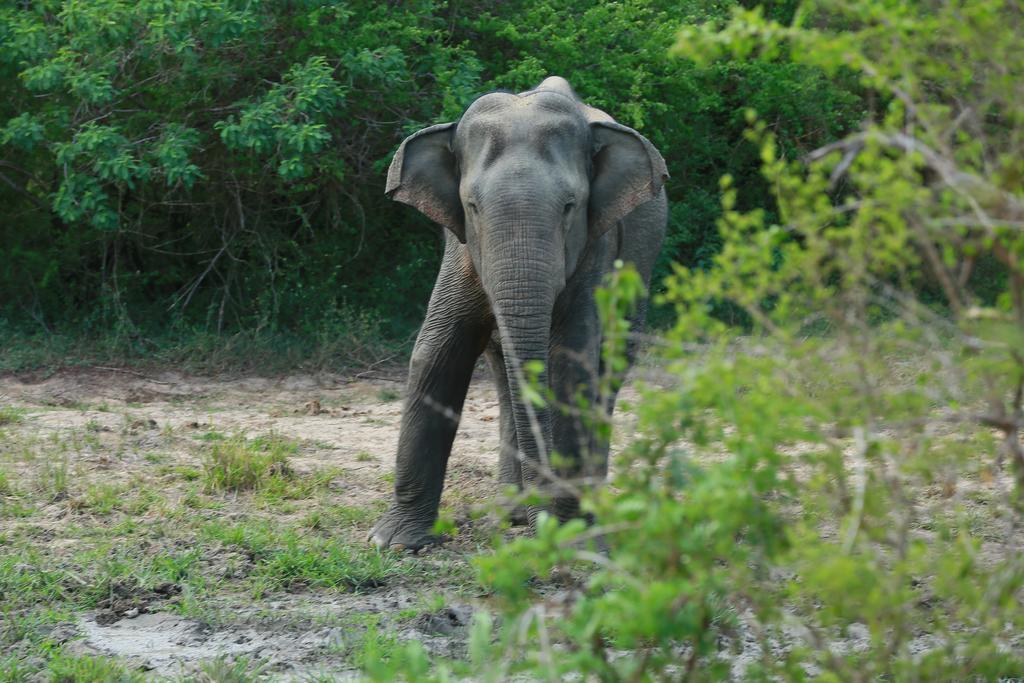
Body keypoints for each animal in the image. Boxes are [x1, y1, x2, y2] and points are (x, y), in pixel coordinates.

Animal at [372, 74, 667, 548]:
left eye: (570, 207)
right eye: (472, 206)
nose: (540, 521)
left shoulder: (596, 246)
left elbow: (570, 366)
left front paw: (573, 536)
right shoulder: (460, 249)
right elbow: (437, 353)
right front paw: (396, 542)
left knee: (610, 366)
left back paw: (589, 506)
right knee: (502, 369)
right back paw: (512, 512)